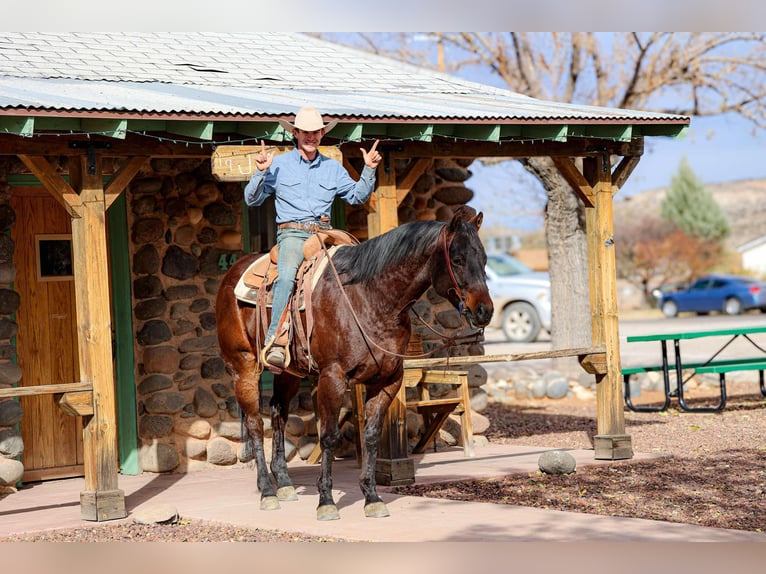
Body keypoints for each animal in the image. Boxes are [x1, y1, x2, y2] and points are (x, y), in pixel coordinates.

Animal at [215, 205, 493, 520]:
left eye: (484, 259)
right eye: (457, 259)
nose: (484, 311)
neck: (370, 298)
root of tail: (232, 274)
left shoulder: (387, 380)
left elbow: (370, 436)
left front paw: (372, 497)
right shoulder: (332, 378)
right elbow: (329, 436)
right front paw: (326, 500)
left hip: (289, 372)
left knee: (278, 414)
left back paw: (284, 483)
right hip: (244, 366)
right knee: (253, 423)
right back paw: (267, 491)